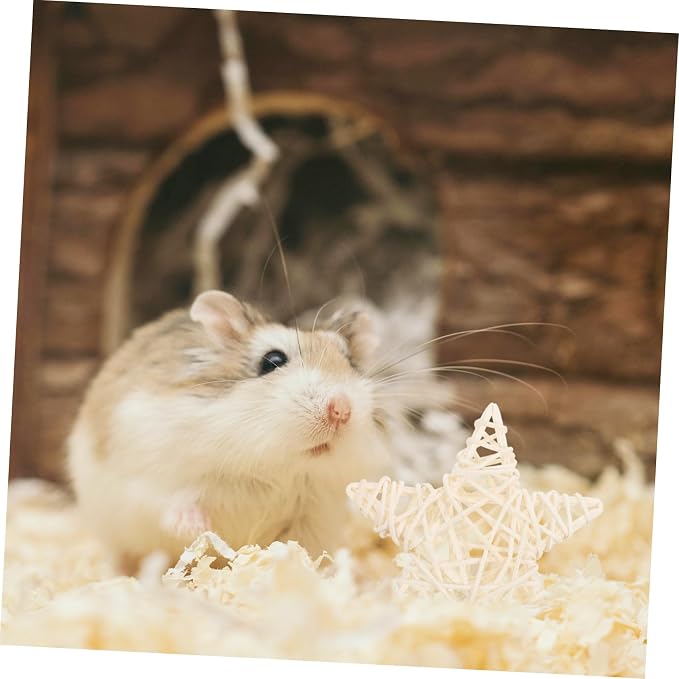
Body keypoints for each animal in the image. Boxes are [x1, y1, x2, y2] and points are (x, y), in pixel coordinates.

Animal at [67, 290, 393, 569]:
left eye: (349, 362)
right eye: (272, 361)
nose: (341, 410)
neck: (274, 466)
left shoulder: (313, 516)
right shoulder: (151, 476)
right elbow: (173, 502)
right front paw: (197, 528)